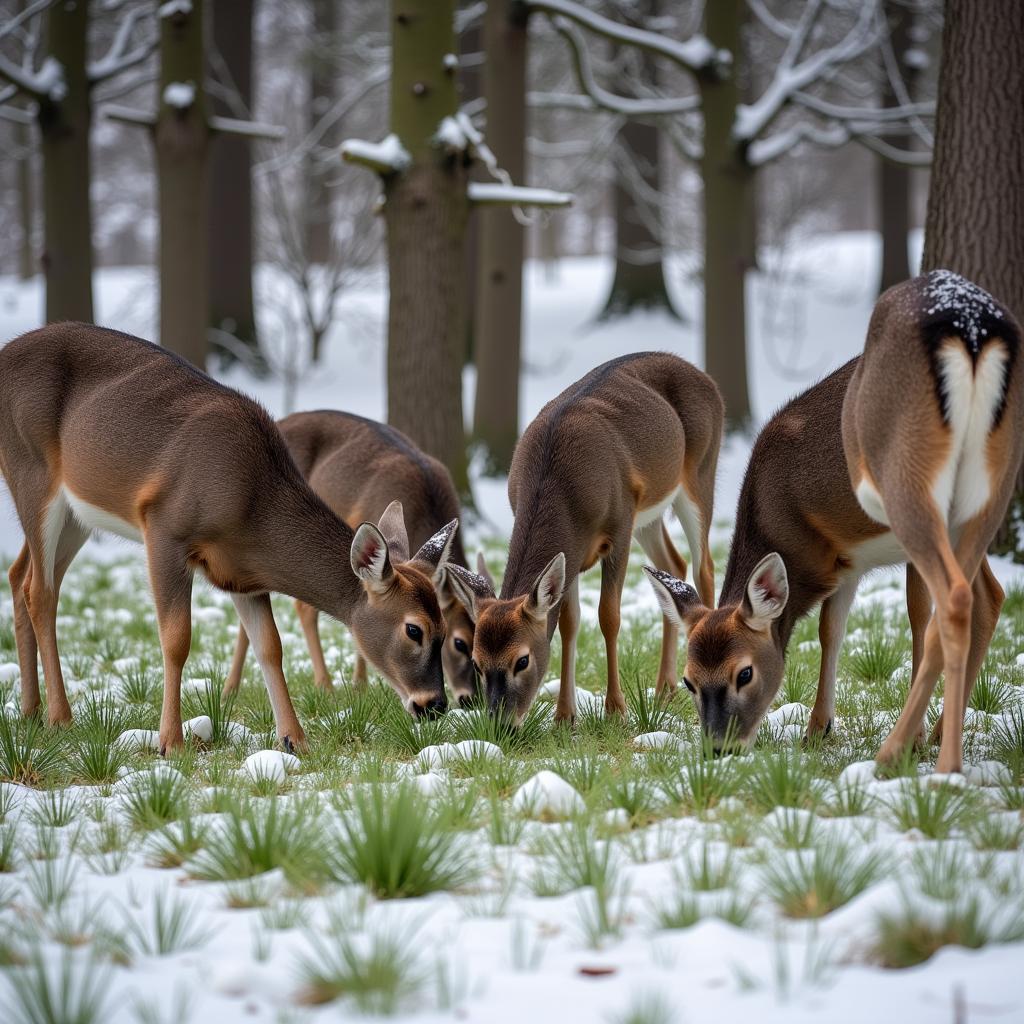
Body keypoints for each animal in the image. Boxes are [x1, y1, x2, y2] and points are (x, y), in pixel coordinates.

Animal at [0, 325, 456, 753]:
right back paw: (60, 717)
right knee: (39, 589)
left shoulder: (242, 571)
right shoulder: (165, 528)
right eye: (414, 630)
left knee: (22, 574)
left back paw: (30, 711)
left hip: (78, 512)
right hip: (30, 467)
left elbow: (270, 646)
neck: (250, 507)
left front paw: (295, 739)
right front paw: (170, 742)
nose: (434, 705)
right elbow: (176, 639)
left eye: (444, 626)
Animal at [448, 356, 720, 724]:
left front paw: (616, 709)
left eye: (522, 660)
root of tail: (703, 375)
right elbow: (569, 622)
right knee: (673, 563)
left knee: (704, 566)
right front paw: (564, 715)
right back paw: (665, 686)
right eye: (476, 661)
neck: (565, 492)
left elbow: (609, 616)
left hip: (700, 472)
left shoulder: (619, 524)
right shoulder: (573, 549)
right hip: (647, 511)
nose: (500, 724)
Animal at [647, 268, 1024, 770]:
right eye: (689, 681)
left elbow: (902, 619)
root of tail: (971, 330)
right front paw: (820, 728)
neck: (782, 519)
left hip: (914, 486)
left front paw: (867, 734)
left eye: (744, 673)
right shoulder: (848, 563)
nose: (719, 749)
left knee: (959, 600)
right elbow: (833, 630)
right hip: (986, 487)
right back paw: (941, 732)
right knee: (990, 595)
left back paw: (912, 752)